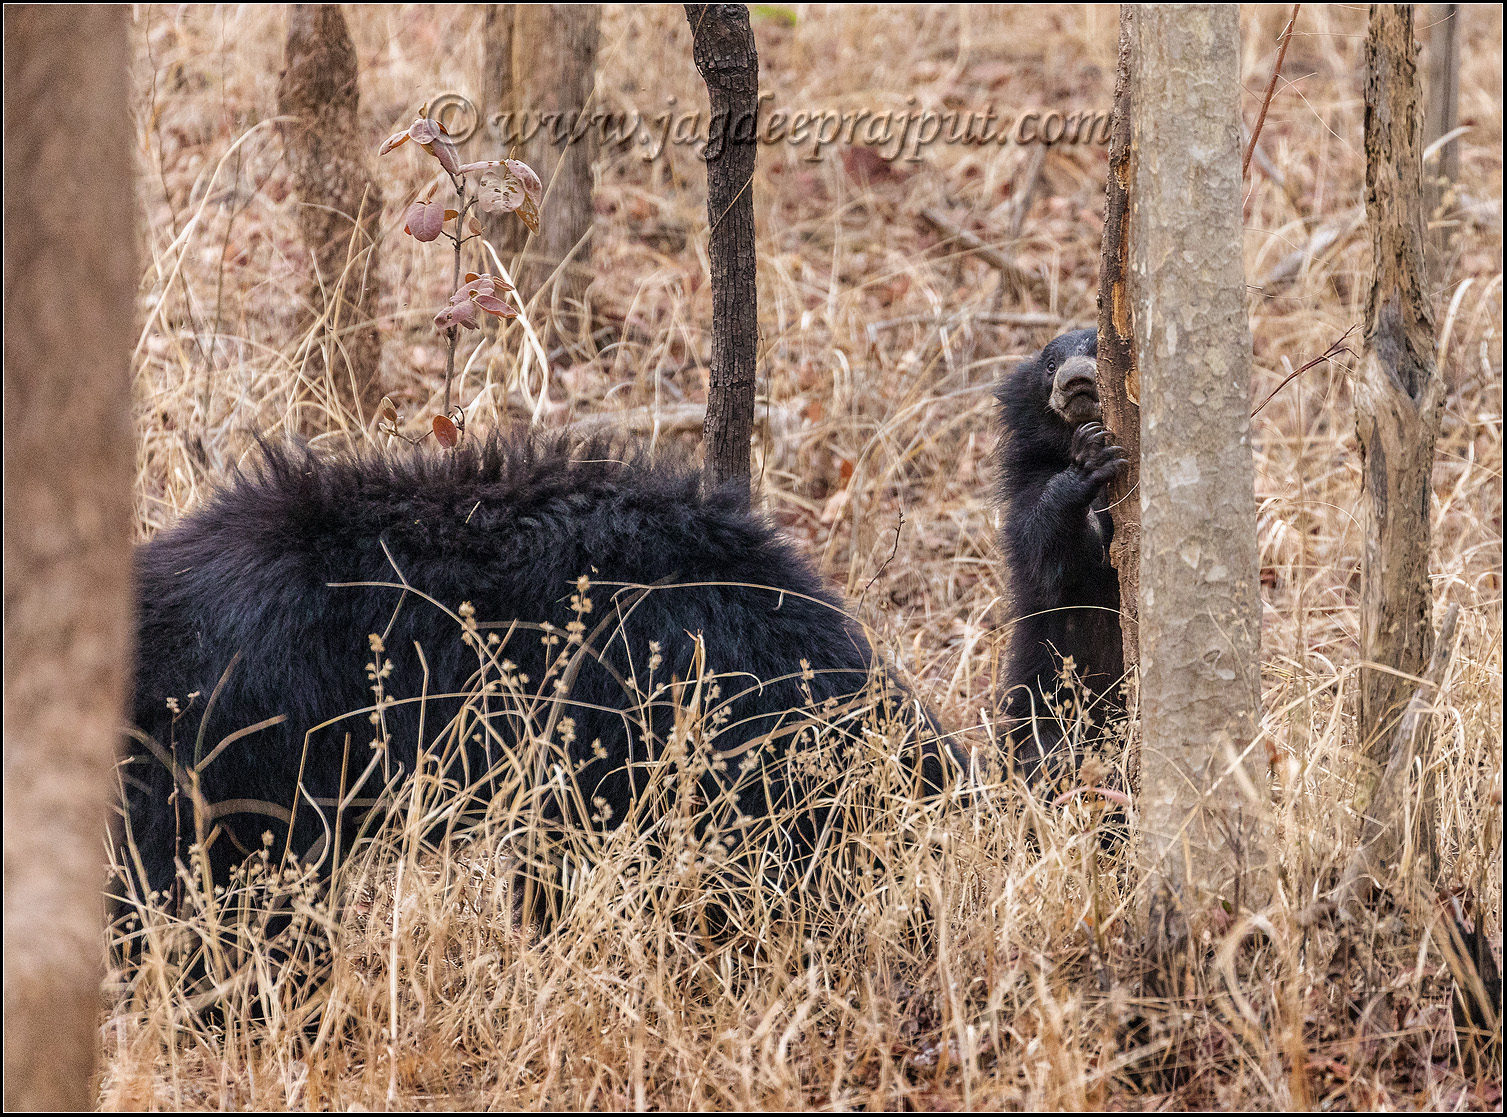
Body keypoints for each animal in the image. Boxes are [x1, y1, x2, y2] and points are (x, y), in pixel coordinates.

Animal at [993, 327, 1128, 786]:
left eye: (1099, 351)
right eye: (1051, 366)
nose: (1077, 380)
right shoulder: (1027, 484)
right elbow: (1049, 552)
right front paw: (1089, 460)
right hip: (1046, 691)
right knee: (1042, 747)